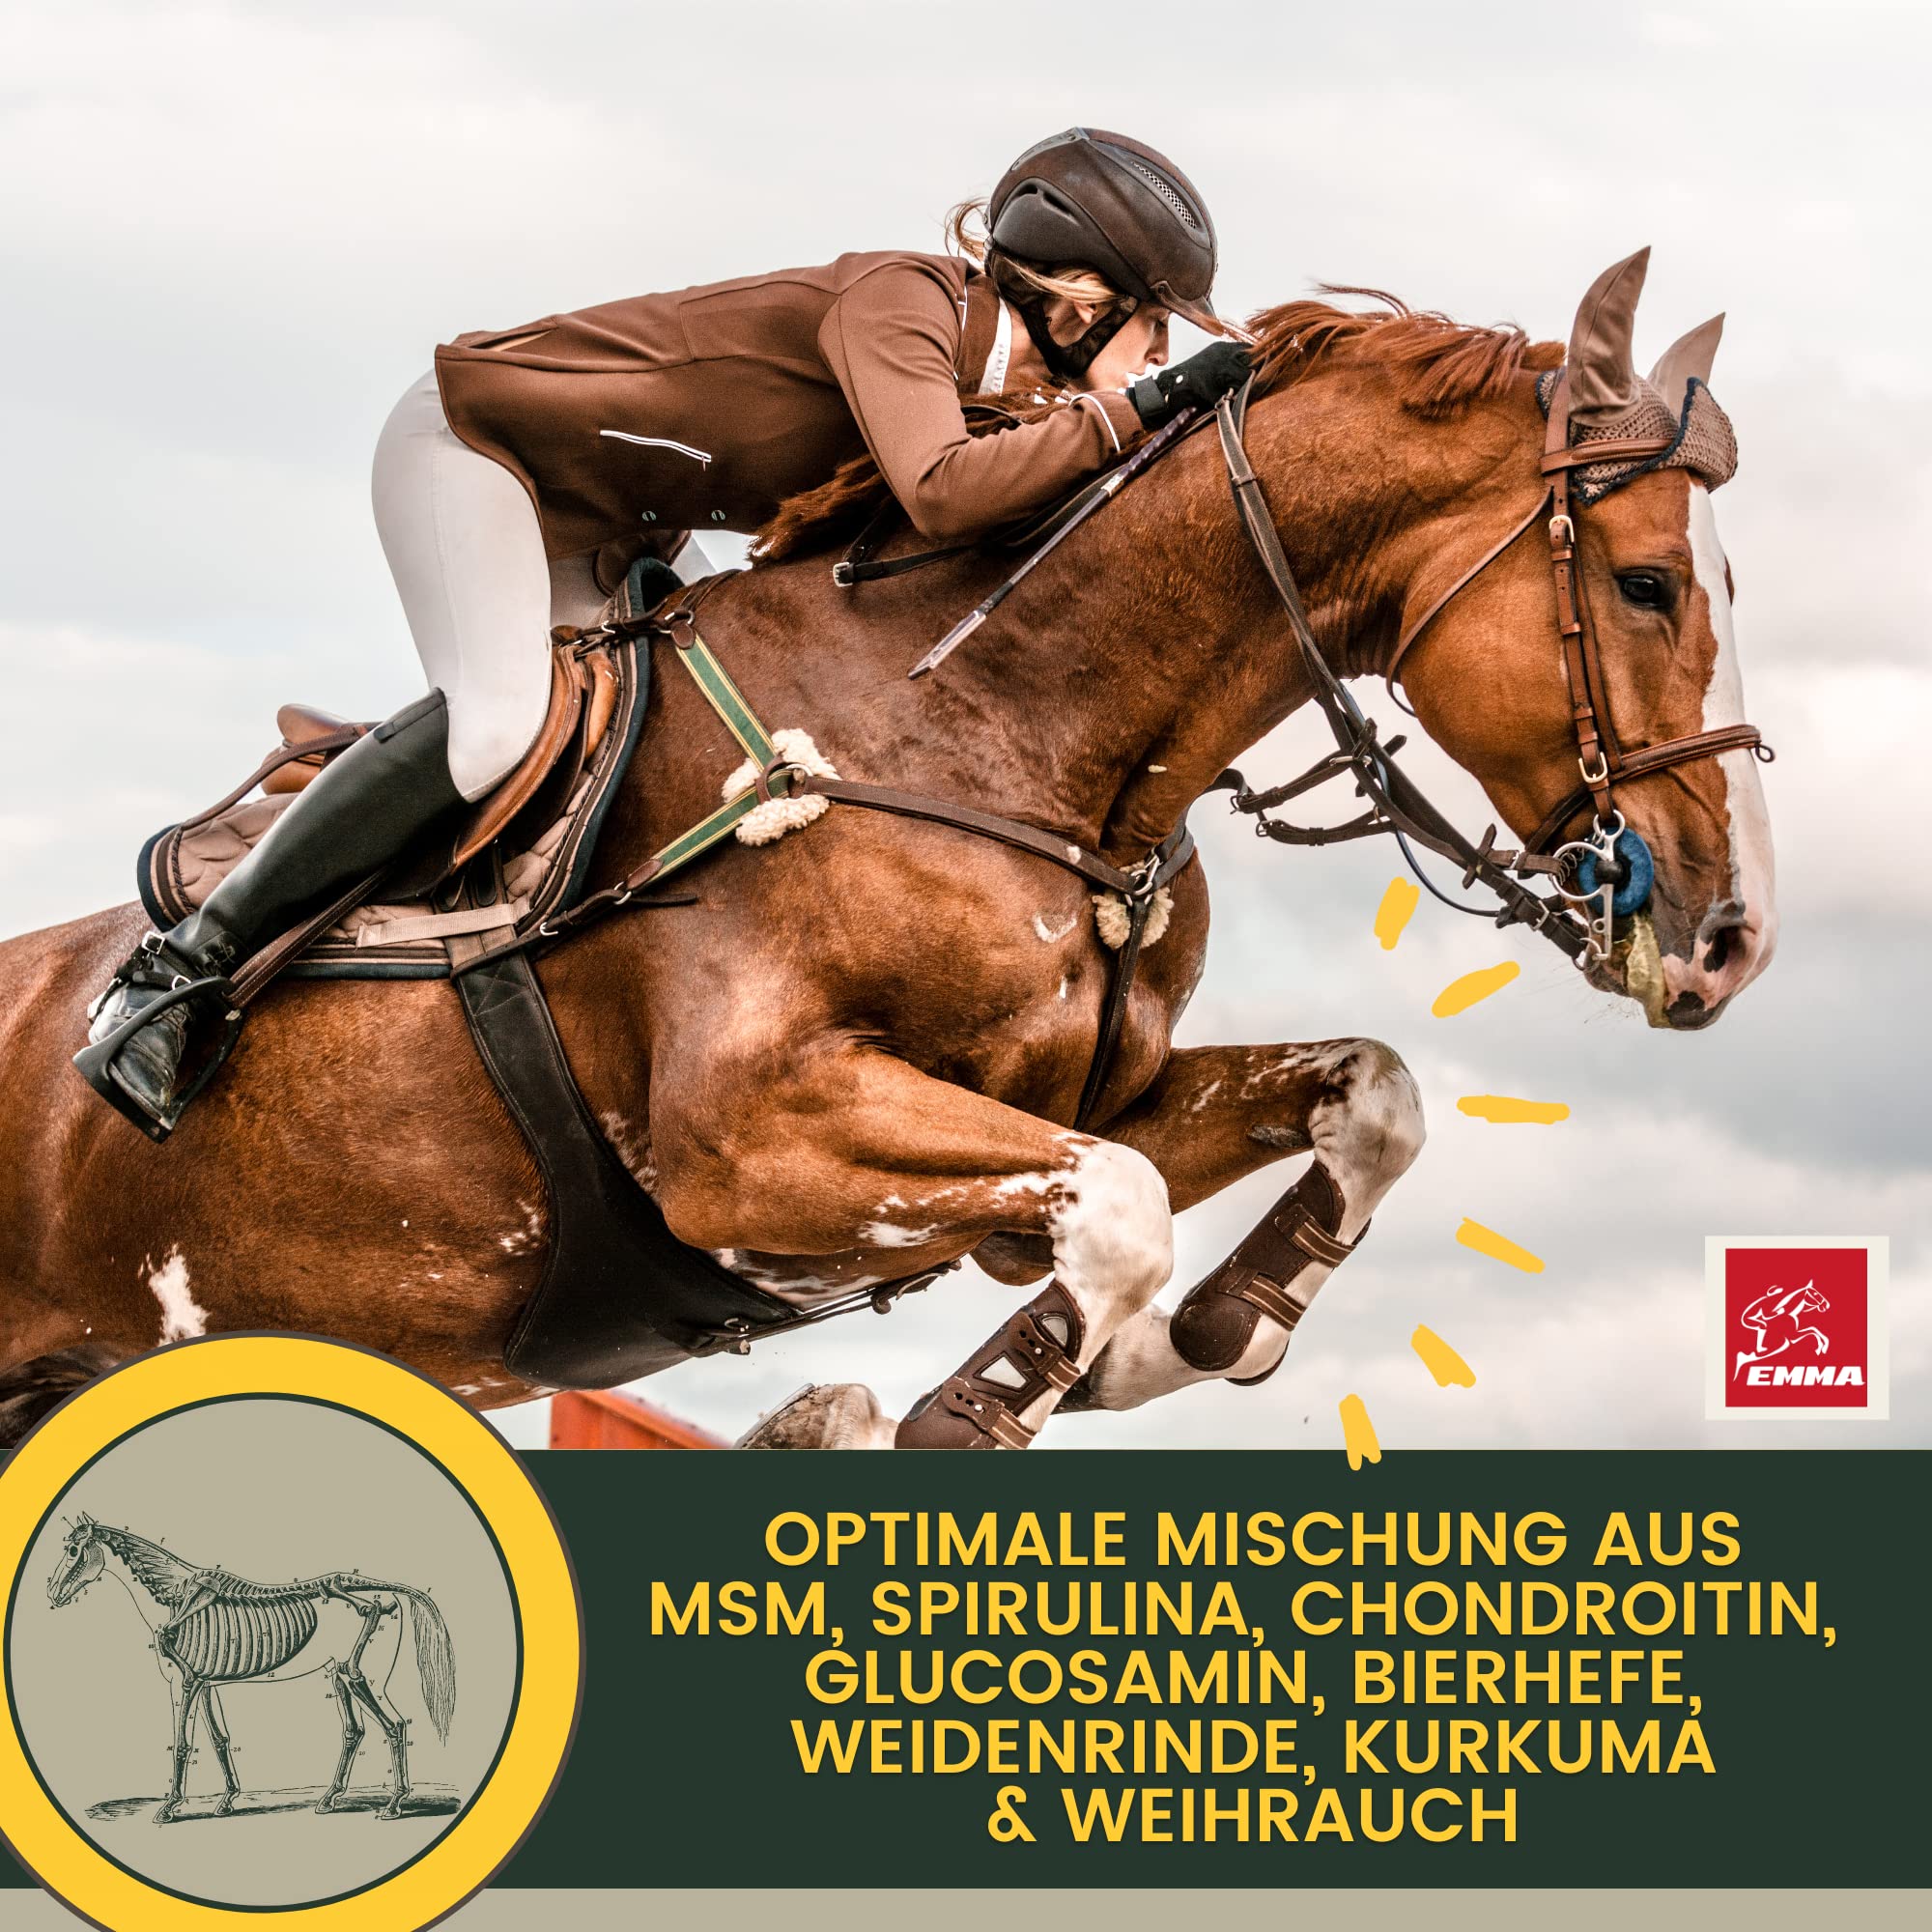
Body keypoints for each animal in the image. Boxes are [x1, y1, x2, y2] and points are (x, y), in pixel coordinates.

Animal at [0, 248, 1777, 1449]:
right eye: (1644, 585)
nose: (1733, 941)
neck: (994, 726)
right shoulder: (749, 1139)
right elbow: (1121, 1206)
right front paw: (979, 1404)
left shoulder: (1086, 1095)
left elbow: (1365, 1099)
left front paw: (1197, 1335)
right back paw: (153, 1017)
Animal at [44, 1513, 455, 1822]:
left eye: (74, 1550)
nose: (52, 1593)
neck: (173, 1596)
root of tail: (383, 1591)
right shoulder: (207, 1684)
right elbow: (219, 1739)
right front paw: (226, 1801)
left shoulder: (185, 1682)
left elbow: (182, 1743)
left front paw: (169, 1808)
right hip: (336, 1673)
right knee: (354, 1730)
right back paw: (328, 1801)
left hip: (360, 1674)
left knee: (394, 1725)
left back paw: (393, 1805)